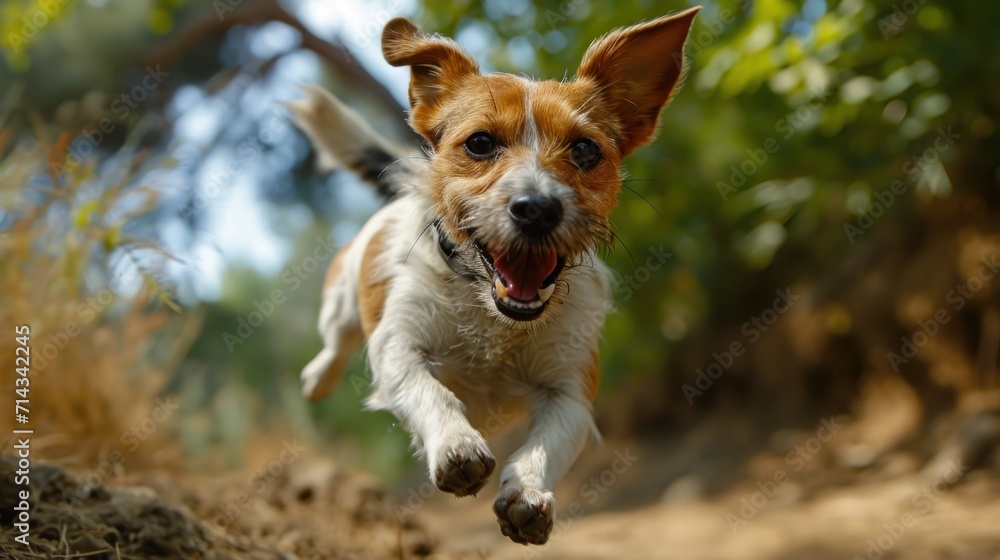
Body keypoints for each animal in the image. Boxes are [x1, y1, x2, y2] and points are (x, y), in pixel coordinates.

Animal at [288, 7, 696, 544]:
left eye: (586, 151)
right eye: (480, 143)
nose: (537, 207)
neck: (492, 314)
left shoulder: (571, 392)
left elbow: (545, 446)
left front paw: (528, 492)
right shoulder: (398, 348)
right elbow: (429, 390)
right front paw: (455, 443)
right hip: (341, 300)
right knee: (336, 340)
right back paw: (318, 377)